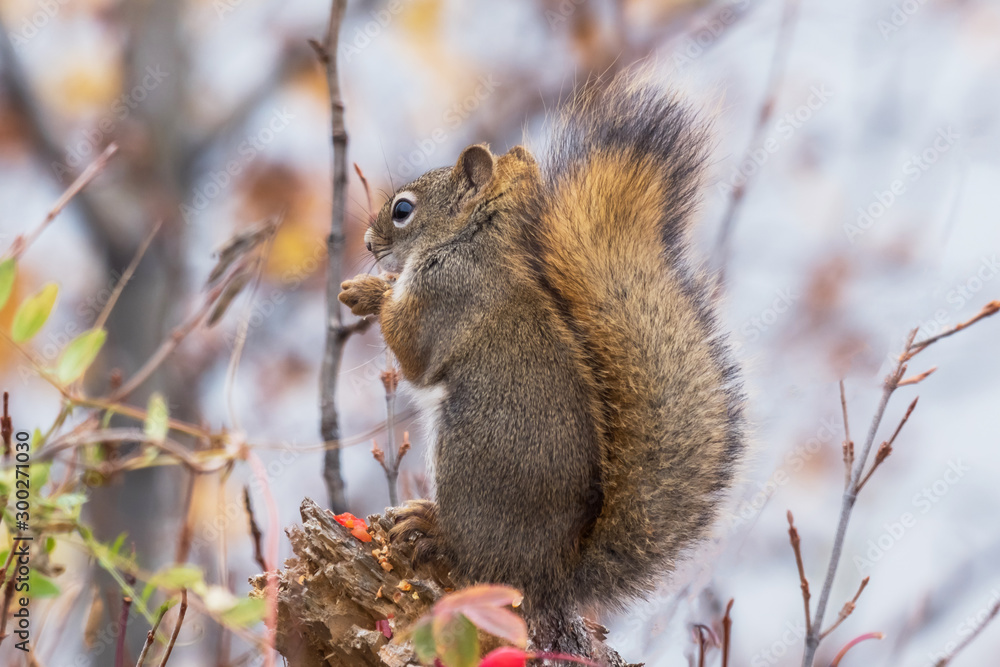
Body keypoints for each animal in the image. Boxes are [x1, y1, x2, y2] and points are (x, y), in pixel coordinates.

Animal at [339, 71, 744, 625]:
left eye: (403, 210)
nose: (367, 242)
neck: (475, 237)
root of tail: (551, 571)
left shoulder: (450, 290)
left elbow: (414, 353)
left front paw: (371, 292)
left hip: (469, 460)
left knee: (474, 554)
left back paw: (431, 527)